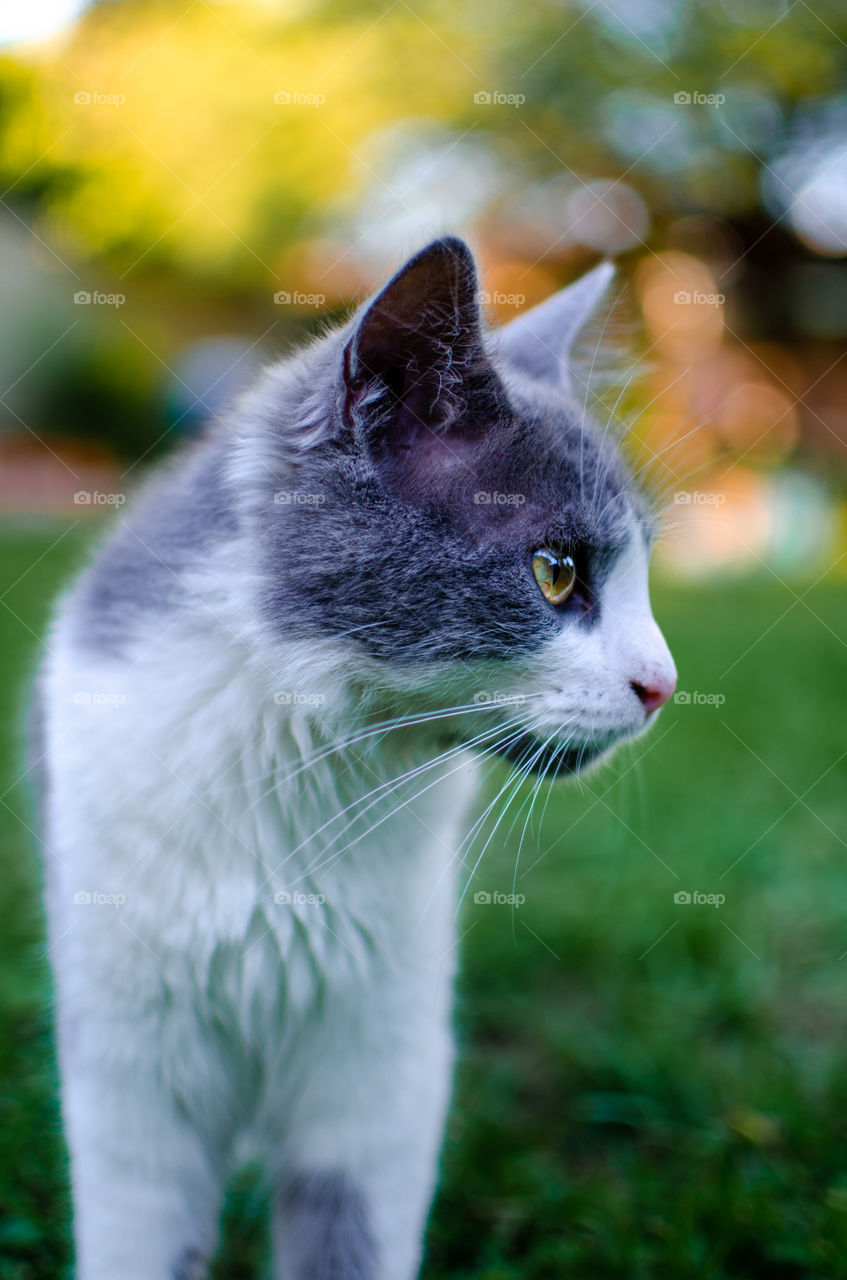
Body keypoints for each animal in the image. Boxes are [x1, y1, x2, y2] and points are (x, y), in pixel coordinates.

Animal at [31, 235, 675, 1274]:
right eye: (555, 571)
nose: (663, 683)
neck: (298, 764)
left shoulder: (379, 1061)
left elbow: (351, 1232)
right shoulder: (132, 1061)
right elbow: (141, 1232)